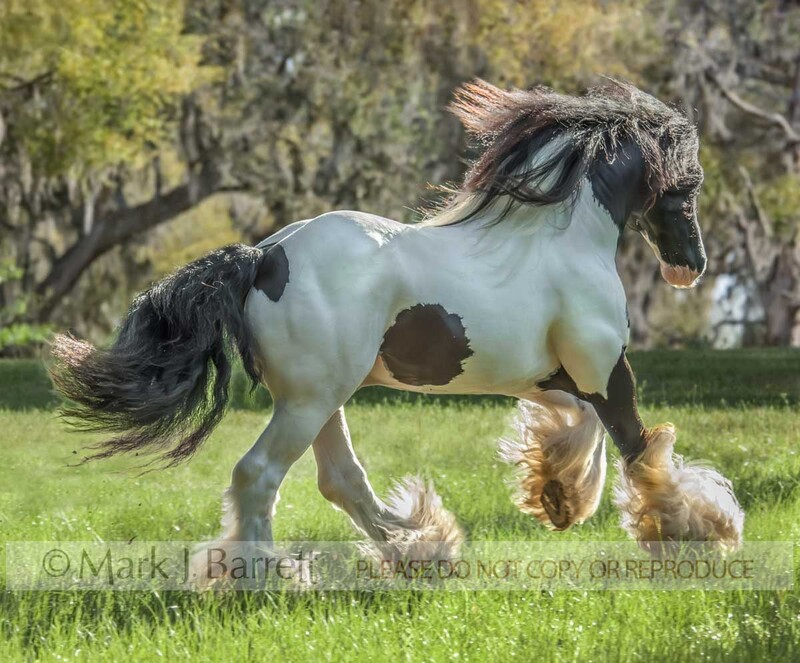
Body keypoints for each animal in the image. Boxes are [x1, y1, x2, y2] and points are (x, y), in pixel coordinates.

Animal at [51, 79, 744, 585]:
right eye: (692, 182)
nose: (692, 265)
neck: (559, 241)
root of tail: (263, 257)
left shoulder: (553, 377)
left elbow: (582, 430)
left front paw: (556, 497)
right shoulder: (605, 369)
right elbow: (640, 448)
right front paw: (695, 532)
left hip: (320, 399)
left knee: (341, 481)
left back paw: (422, 549)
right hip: (310, 401)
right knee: (259, 475)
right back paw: (267, 580)